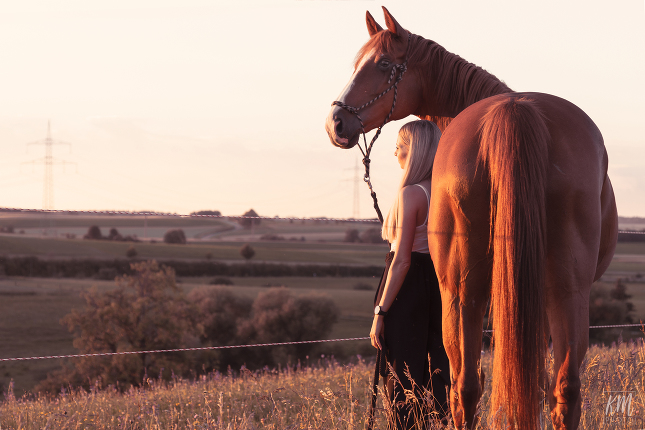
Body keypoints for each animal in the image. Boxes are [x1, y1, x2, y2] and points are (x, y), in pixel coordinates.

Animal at [324, 6, 616, 430]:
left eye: (382, 64)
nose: (336, 123)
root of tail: (515, 111)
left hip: (462, 294)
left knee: (464, 388)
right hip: (565, 291)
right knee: (563, 388)